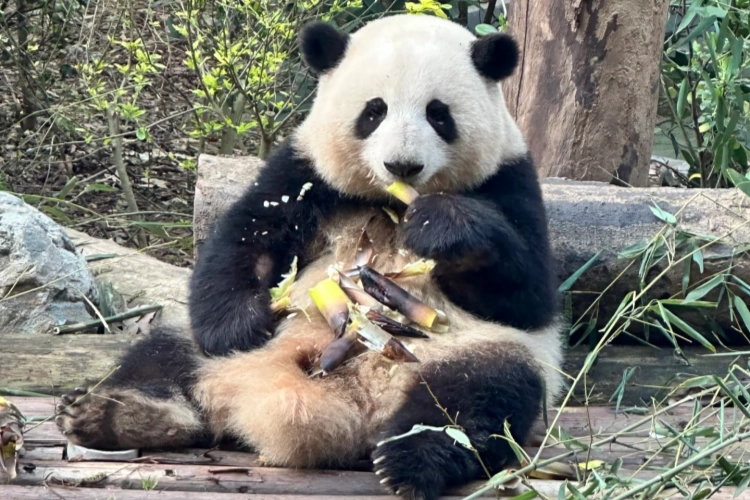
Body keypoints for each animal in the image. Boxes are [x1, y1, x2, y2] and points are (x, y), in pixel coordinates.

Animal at [56, 13, 564, 500]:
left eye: (439, 114)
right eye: (374, 111)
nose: (402, 166)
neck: (390, 202)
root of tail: (357, 402)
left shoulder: (509, 177)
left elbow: (527, 296)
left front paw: (441, 224)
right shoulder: (304, 170)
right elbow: (248, 240)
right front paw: (238, 326)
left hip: (467, 351)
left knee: (481, 395)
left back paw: (409, 460)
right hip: (220, 352)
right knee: (164, 354)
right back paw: (111, 416)